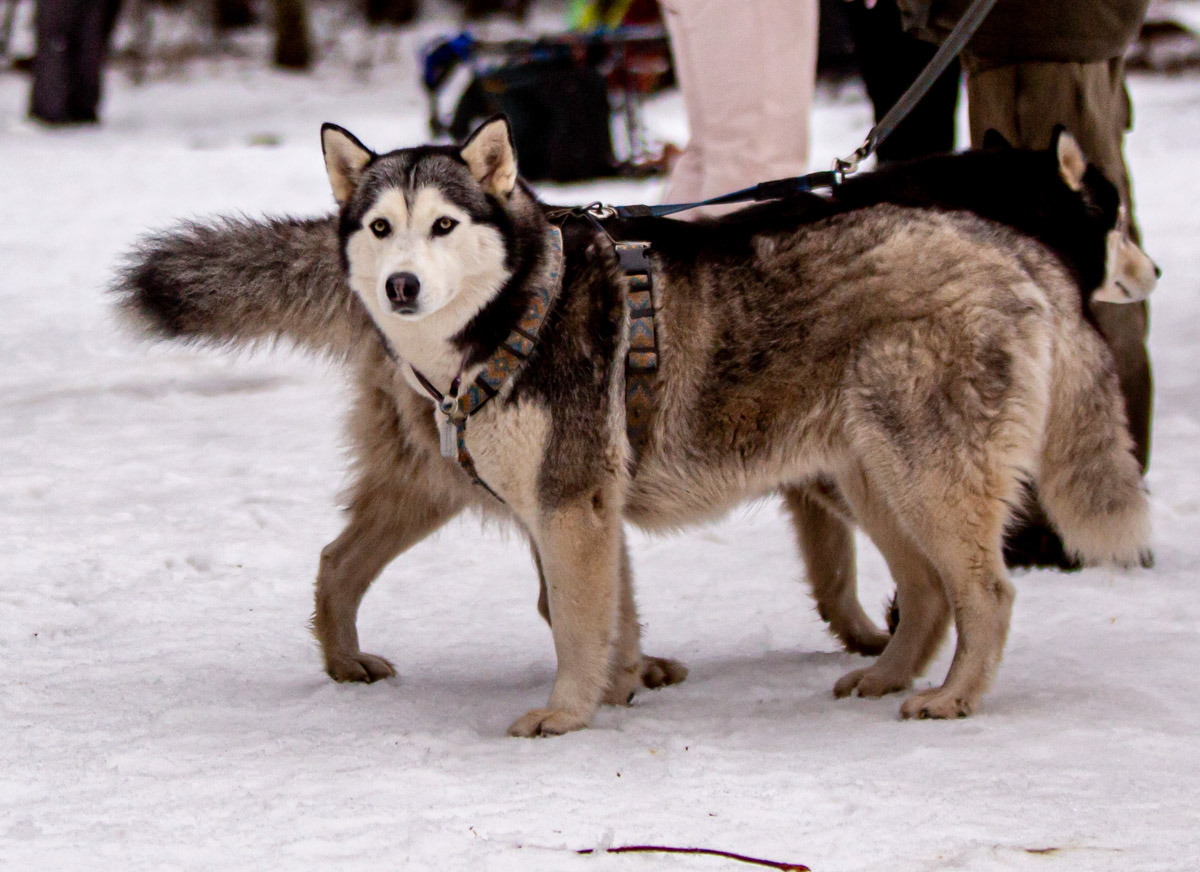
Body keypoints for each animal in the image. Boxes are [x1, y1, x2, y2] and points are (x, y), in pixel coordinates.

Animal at [114, 114, 1152, 729]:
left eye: (444, 225)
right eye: (380, 229)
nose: (402, 284)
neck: (516, 315)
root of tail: (1005, 244)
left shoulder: (571, 504)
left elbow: (579, 621)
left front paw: (569, 715)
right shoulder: (573, 506)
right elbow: (594, 615)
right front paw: (613, 693)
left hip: (918, 476)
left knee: (986, 594)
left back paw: (954, 696)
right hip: (873, 479)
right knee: (934, 593)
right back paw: (889, 677)